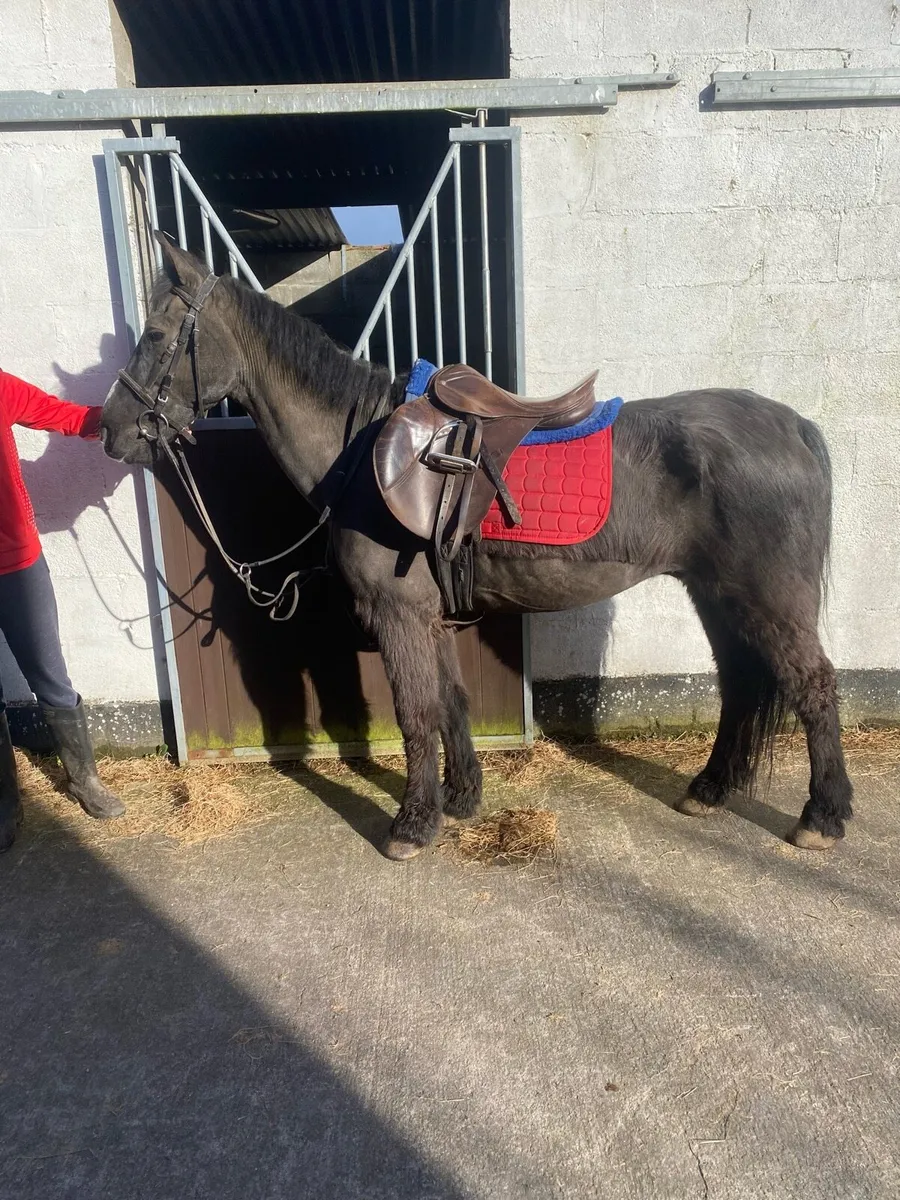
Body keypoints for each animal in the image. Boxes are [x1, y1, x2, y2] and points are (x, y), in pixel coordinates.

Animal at [100, 237, 853, 861]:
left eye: (158, 334)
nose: (111, 428)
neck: (363, 456)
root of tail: (794, 426)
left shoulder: (397, 615)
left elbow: (415, 714)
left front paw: (411, 826)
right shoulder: (428, 616)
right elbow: (451, 703)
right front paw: (461, 801)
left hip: (765, 598)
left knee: (813, 684)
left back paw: (823, 816)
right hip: (715, 594)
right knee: (742, 683)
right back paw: (710, 788)